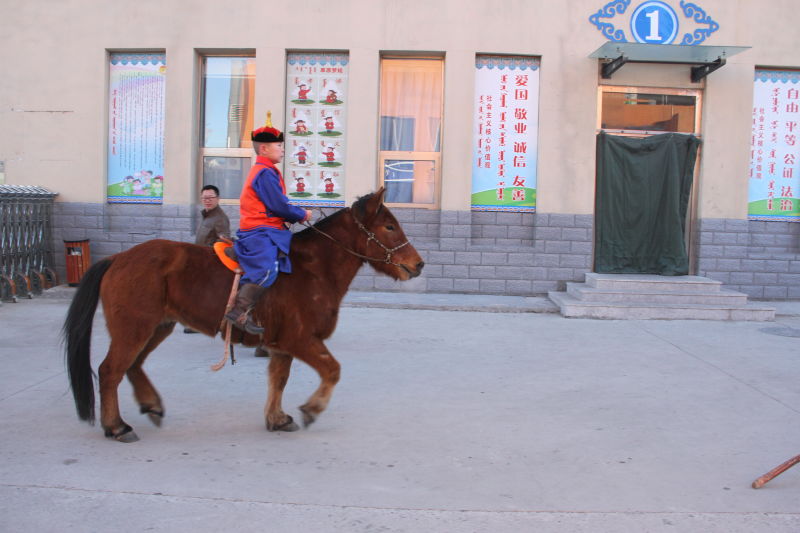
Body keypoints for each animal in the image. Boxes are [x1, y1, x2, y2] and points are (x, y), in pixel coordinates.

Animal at [63, 189, 424, 442]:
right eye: (389, 226)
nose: (418, 264)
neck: (313, 269)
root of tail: (118, 259)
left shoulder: (282, 345)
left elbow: (279, 379)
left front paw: (277, 418)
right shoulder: (301, 339)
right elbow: (332, 370)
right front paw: (311, 409)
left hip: (156, 327)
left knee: (133, 365)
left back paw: (150, 404)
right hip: (133, 328)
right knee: (110, 370)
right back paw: (116, 427)